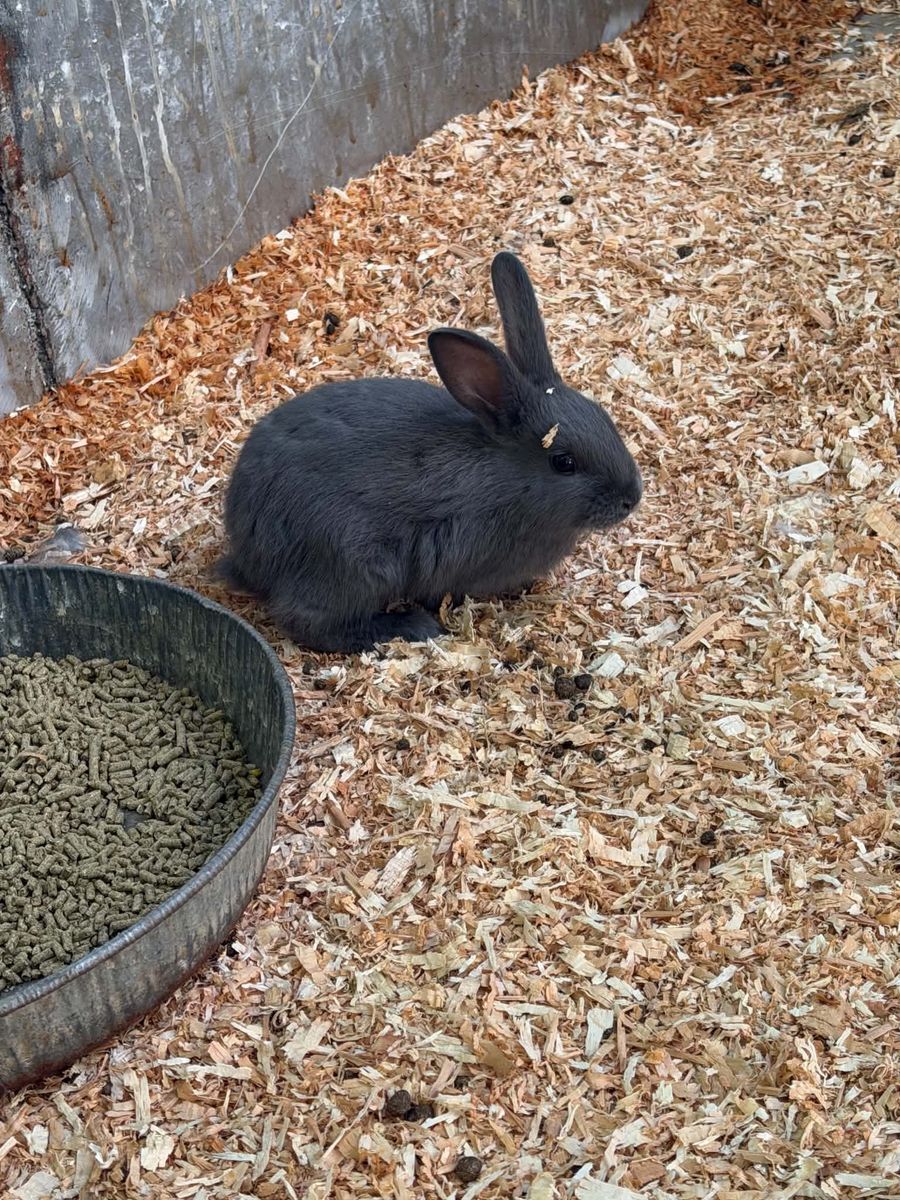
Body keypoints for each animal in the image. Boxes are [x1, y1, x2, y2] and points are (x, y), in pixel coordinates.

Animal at [218, 251, 642, 653]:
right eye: (564, 462)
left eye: (604, 416)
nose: (631, 498)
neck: (506, 478)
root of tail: (247, 554)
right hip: (355, 564)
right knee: (309, 621)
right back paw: (410, 627)